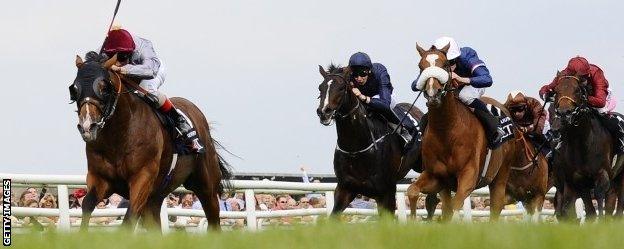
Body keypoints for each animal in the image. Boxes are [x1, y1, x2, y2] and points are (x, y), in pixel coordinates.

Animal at [70, 52, 232, 230]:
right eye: (74, 89)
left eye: (104, 88)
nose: (87, 126)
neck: (119, 136)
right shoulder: (100, 178)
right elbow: (87, 205)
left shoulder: (143, 178)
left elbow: (129, 219)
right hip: (156, 197)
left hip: (206, 187)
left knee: (214, 220)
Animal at [316, 65, 424, 217]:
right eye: (320, 87)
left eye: (342, 87)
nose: (324, 112)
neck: (356, 149)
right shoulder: (345, 188)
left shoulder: (387, 192)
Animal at [408, 43, 516, 221]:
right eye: (420, 67)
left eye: (445, 65)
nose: (433, 94)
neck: (446, 131)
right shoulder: (436, 177)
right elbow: (413, 191)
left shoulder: (468, 176)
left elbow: (455, 205)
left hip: (500, 176)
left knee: (496, 206)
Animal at [552, 71, 616, 221]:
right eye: (556, 91)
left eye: (577, 90)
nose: (564, 113)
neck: (583, 143)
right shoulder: (578, 180)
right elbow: (588, 209)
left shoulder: (602, 173)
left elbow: (599, 194)